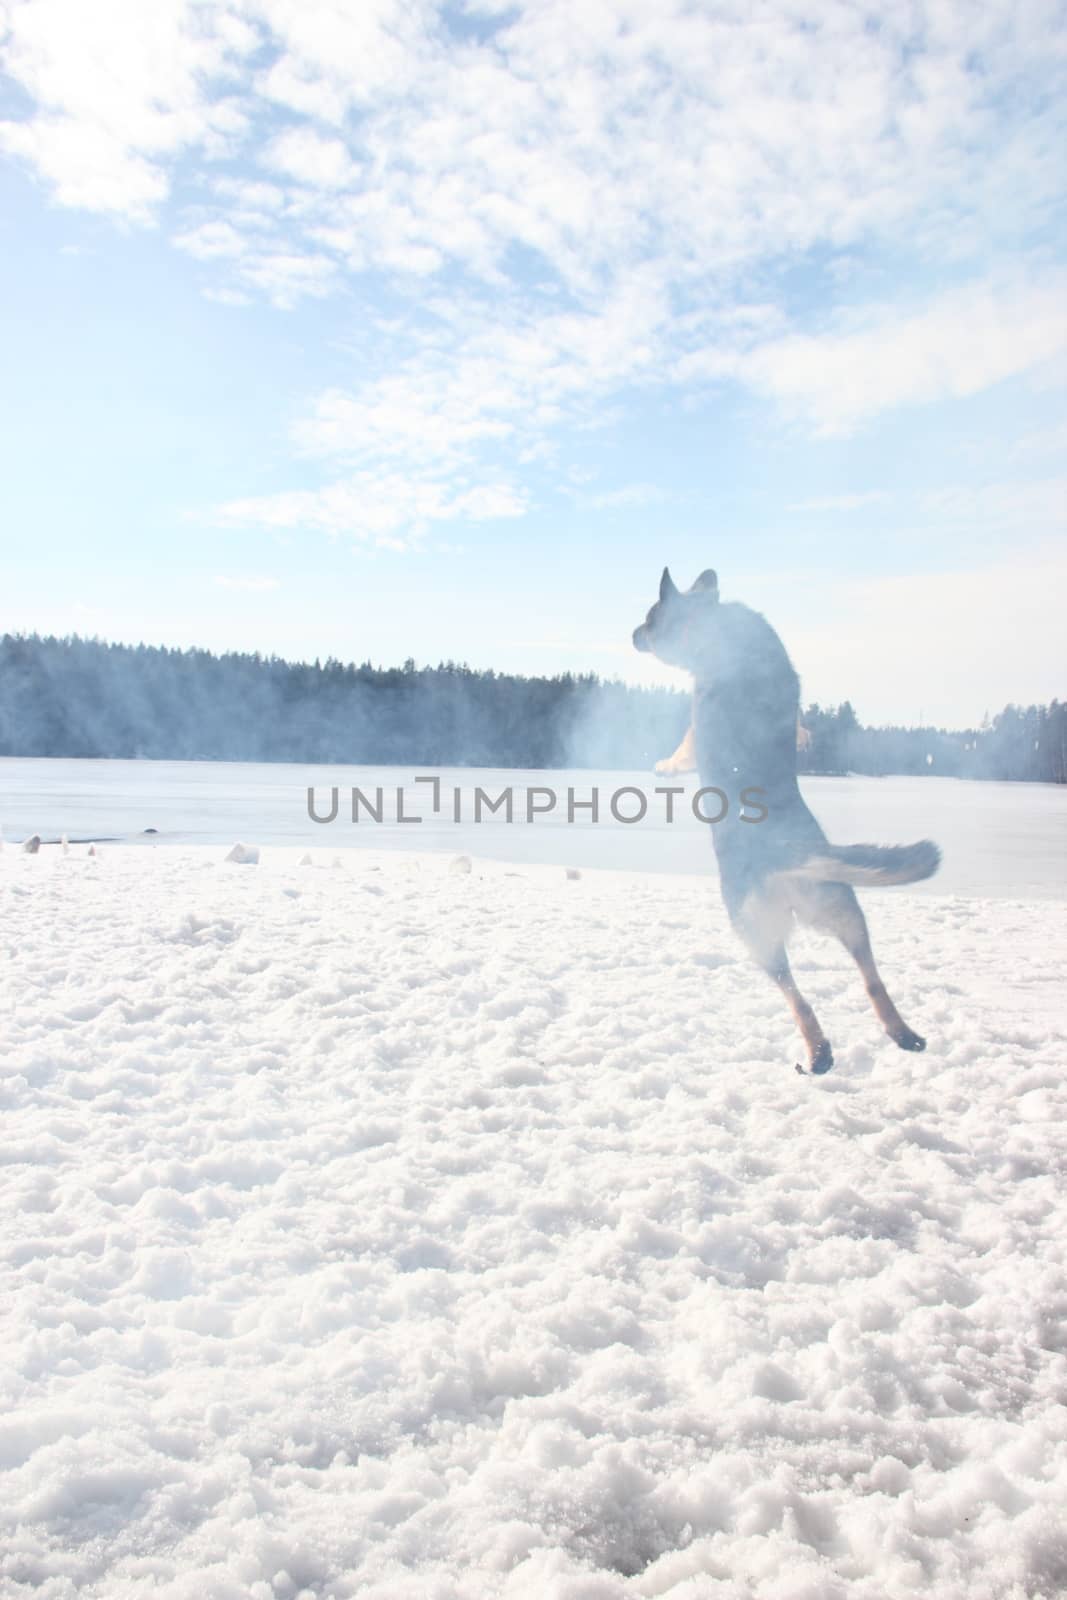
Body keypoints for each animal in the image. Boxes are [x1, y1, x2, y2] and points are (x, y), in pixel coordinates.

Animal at [630, 563, 940, 1075]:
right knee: (870, 975)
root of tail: (788, 858)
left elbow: (683, 748)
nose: (632, 634)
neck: (712, 623)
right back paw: (898, 1032)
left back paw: (818, 1051)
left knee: (796, 994)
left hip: (754, 931)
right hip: (845, 911)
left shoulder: (697, 720)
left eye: (650, 619)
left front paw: (664, 765)